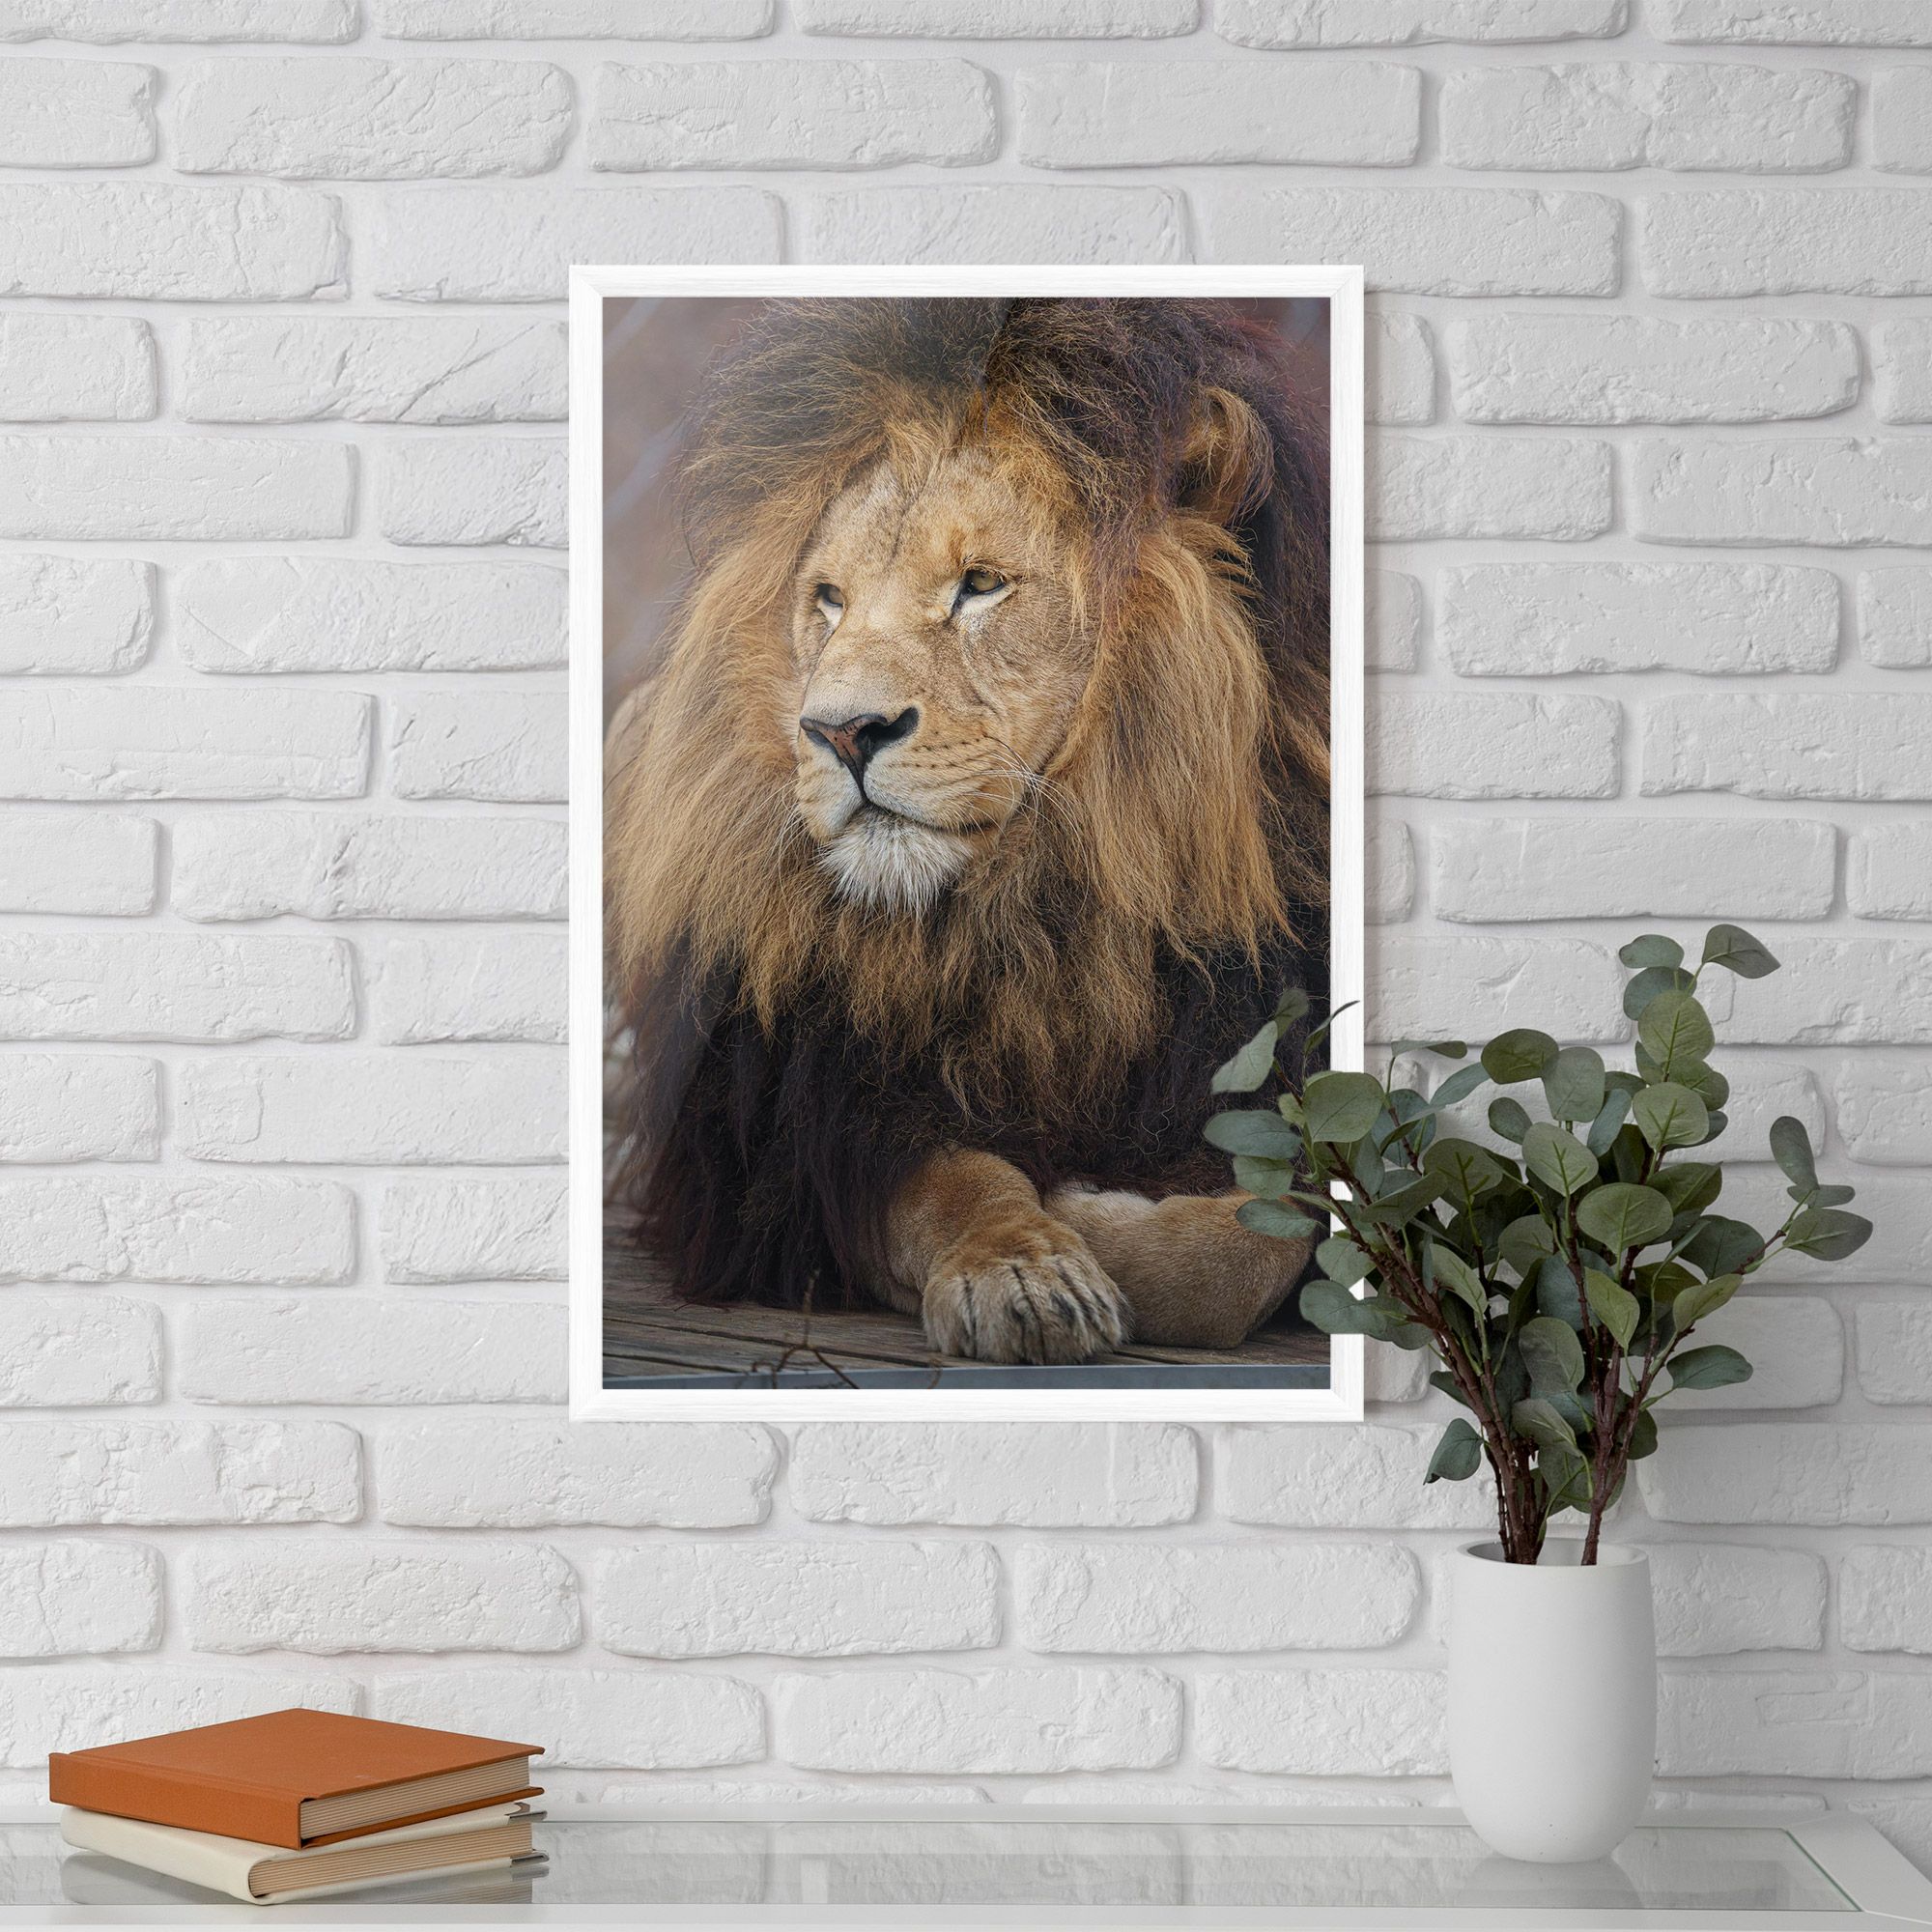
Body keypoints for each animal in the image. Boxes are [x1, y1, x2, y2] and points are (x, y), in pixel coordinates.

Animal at [606, 297, 1330, 1366]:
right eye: (828, 600)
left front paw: (1100, 1207)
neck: (1041, 912)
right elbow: (952, 1184)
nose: (838, 731)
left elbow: (1259, 1240)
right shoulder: (790, 1136)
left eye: (980, 584)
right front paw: (1028, 1264)